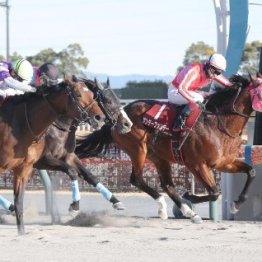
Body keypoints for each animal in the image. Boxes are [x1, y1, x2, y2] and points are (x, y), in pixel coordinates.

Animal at [0, 75, 104, 233]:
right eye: (78, 95)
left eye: (93, 95)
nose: (100, 118)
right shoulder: (45, 159)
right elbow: (72, 171)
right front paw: (74, 206)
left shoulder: (25, 167)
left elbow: (19, 203)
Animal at [34, 78, 133, 213]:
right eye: (108, 100)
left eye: (117, 99)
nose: (128, 124)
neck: (59, 127)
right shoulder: (43, 159)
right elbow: (72, 171)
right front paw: (75, 204)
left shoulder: (69, 156)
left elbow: (89, 176)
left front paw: (116, 201)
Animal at [74, 74, 260, 224]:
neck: (218, 123)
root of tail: (118, 116)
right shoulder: (197, 164)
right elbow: (214, 192)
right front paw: (190, 196)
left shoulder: (224, 163)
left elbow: (251, 172)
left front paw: (236, 204)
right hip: (138, 149)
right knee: (137, 179)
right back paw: (169, 207)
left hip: (159, 156)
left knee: (167, 185)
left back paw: (188, 212)